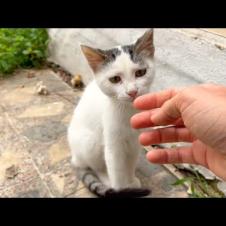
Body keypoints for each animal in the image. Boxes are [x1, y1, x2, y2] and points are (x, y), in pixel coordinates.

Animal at [67, 29, 155, 197]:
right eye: (115, 79)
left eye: (140, 72)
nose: (132, 92)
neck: (128, 111)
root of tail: (74, 158)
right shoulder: (113, 145)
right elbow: (117, 170)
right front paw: (122, 189)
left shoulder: (134, 142)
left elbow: (130, 163)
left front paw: (130, 180)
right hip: (90, 143)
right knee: (96, 167)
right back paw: (106, 179)